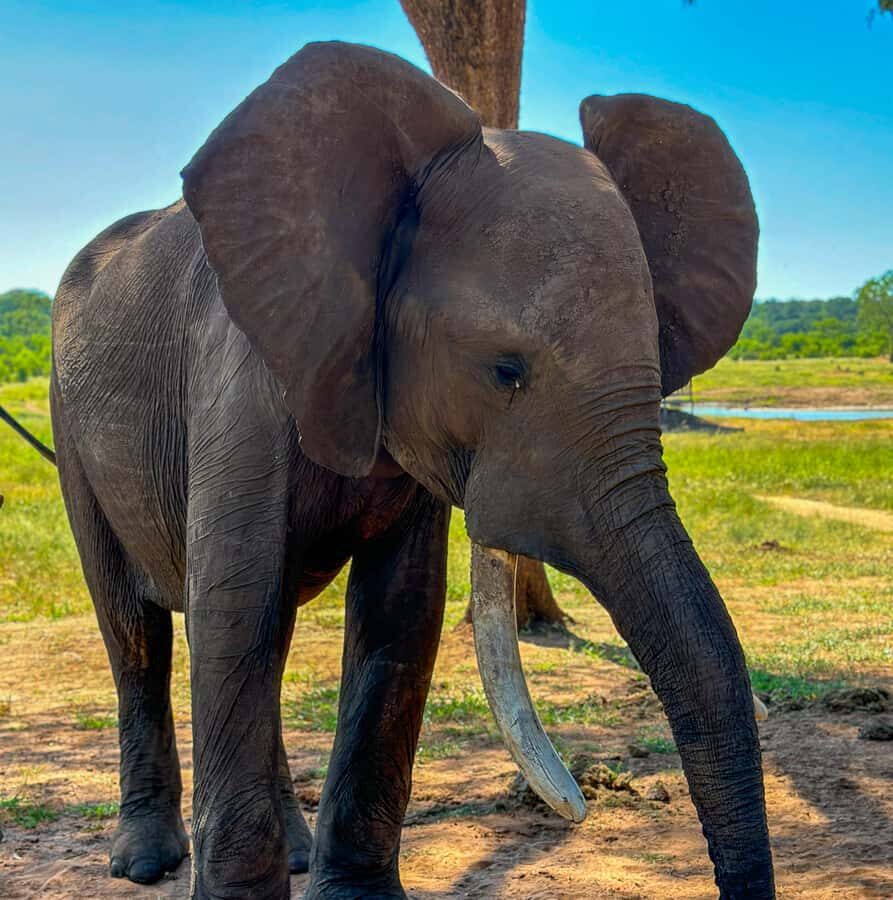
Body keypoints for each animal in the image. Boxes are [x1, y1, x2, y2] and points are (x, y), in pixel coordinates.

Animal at [47, 41, 774, 899]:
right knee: (136, 630)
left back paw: (292, 852)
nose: (582, 804)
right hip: (67, 416)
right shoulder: (242, 377)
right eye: (504, 371)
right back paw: (144, 862)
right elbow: (235, 604)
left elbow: (398, 612)